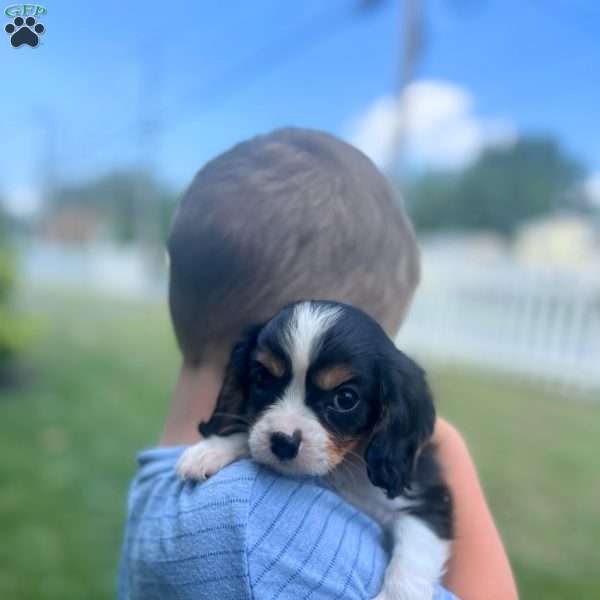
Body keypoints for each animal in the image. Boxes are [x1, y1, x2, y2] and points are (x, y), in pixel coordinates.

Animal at [176, 302, 452, 596]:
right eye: (262, 379)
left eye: (346, 399)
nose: (283, 443)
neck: (345, 466)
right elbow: (251, 435)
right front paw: (213, 449)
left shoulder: (427, 501)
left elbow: (414, 554)